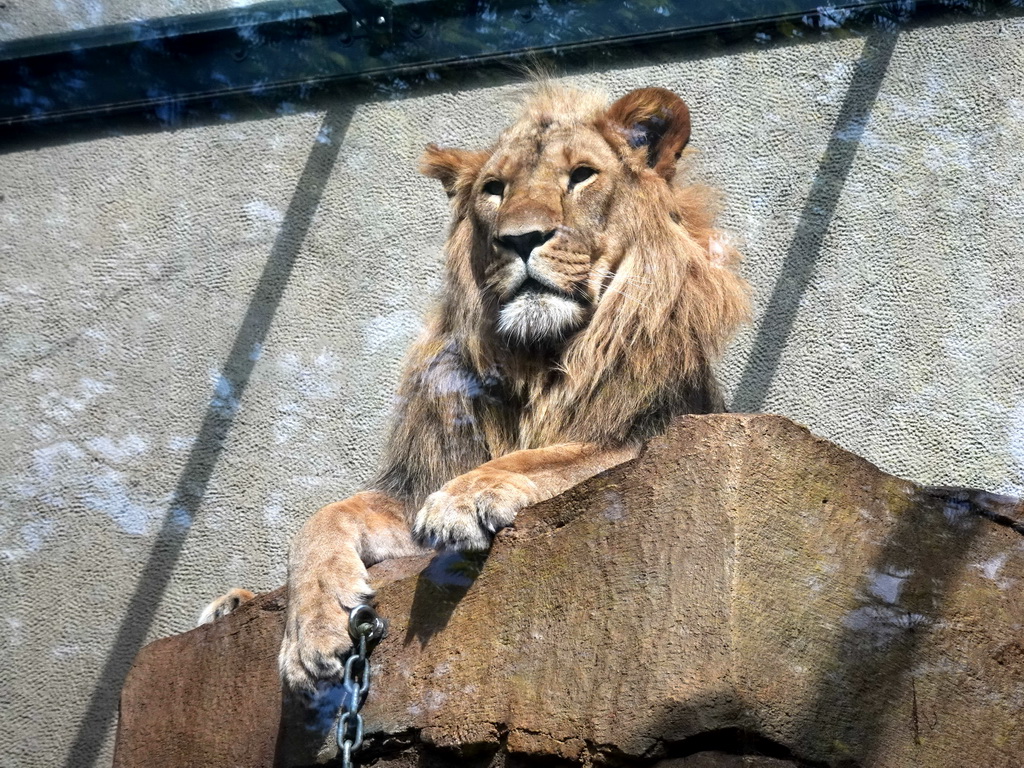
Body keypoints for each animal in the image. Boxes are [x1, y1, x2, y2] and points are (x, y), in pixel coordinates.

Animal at [199, 82, 749, 692]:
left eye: (582, 175)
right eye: (495, 189)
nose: (521, 239)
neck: (537, 356)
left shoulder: (646, 433)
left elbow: (554, 456)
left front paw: (463, 498)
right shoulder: (413, 484)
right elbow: (322, 518)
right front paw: (310, 632)